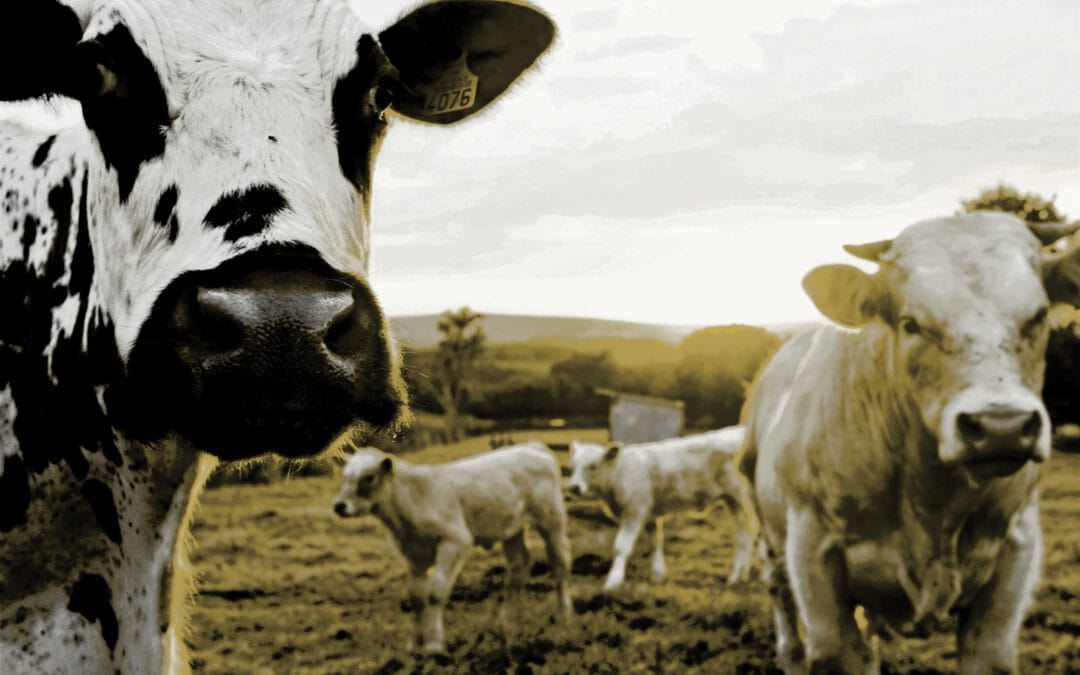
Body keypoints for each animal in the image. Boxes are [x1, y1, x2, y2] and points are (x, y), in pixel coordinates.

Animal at [332, 443, 573, 656]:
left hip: (551, 518)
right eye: (345, 476)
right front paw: (415, 643)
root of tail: (532, 447)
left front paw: (434, 644)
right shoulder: (414, 555)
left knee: (559, 563)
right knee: (518, 564)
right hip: (510, 528)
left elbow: (435, 593)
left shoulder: (455, 541)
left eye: (368, 477)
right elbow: (416, 597)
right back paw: (509, 621)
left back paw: (563, 621)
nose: (339, 506)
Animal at [567, 426, 758, 592]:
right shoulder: (650, 512)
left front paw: (613, 582)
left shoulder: (634, 510)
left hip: (745, 496)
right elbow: (655, 541)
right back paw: (738, 577)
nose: (574, 487)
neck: (619, 474)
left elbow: (621, 546)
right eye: (574, 465)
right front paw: (658, 574)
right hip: (733, 500)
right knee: (744, 534)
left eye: (593, 465)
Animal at [739, 212, 1080, 674]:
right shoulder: (813, 556)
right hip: (771, 547)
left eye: (1038, 315)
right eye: (910, 323)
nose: (1001, 426)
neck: (932, 502)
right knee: (788, 629)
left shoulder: (1015, 552)